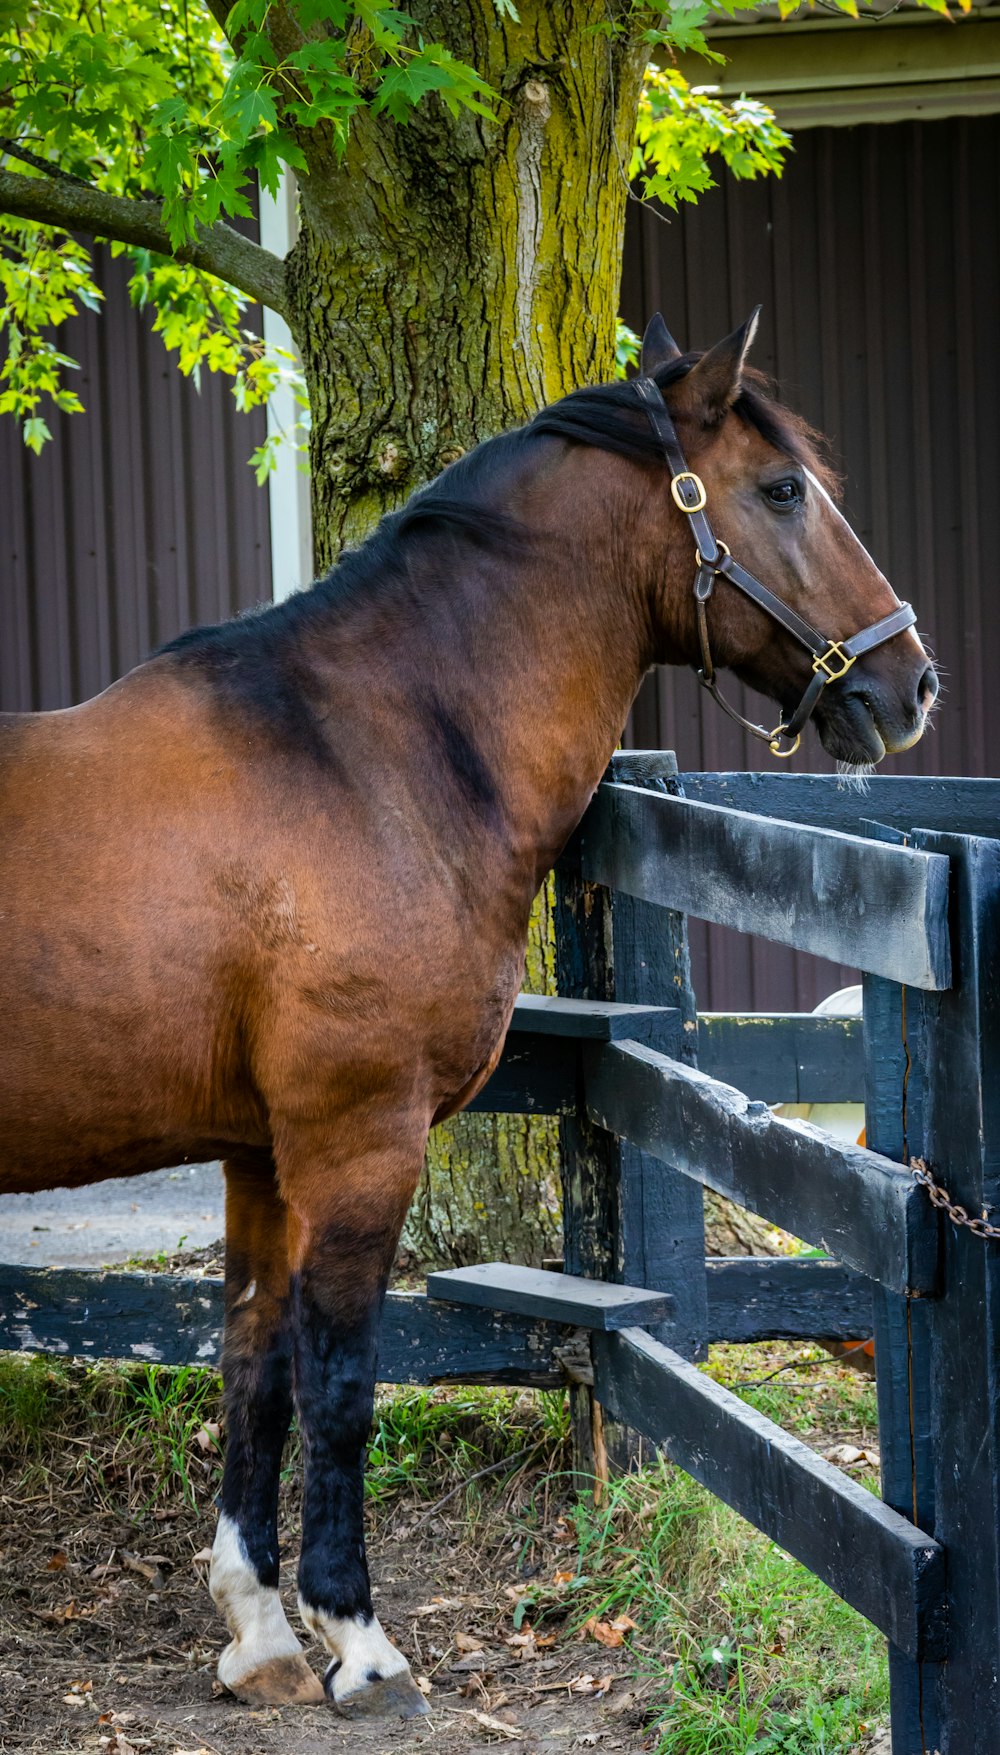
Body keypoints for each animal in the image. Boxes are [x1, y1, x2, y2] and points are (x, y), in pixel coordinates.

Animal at [0, 315, 933, 1712]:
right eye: (781, 491)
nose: (909, 684)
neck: (361, 760)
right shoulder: (360, 1142)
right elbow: (339, 1382)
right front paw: (359, 1641)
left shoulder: (262, 1156)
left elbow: (253, 1367)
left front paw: (260, 1634)